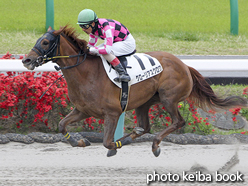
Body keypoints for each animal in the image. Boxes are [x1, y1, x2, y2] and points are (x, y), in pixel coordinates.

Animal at [22, 25, 247, 157]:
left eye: (45, 41)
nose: (26, 60)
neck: (86, 73)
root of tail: (184, 65)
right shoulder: (82, 110)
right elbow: (61, 125)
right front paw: (80, 141)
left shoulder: (112, 113)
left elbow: (107, 143)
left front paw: (114, 147)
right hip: (144, 102)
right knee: (145, 126)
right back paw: (133, 136)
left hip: (169, 98)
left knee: (178, 122)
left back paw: (155, 144)